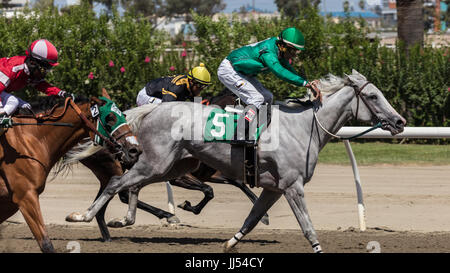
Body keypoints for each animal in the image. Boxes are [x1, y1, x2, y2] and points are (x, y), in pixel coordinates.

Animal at [0, 89, 141, 251]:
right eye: (110, 118)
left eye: (123, 115)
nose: (134, 150)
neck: (30, 140)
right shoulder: (26, 196)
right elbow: (46, 244)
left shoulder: (10, 201)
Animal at [69, 69, 408, 251]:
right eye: (373, 96)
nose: (400, 121)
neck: (302, 126)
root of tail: (154, 108)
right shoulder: (293, 186)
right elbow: (308, 226)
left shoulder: (273, 187)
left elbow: (253, 217)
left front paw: (229, 243)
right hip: (157, 163)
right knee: (117, 181)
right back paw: (82, 216)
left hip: (170, 166)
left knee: (129, 185)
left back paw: (124, 219)